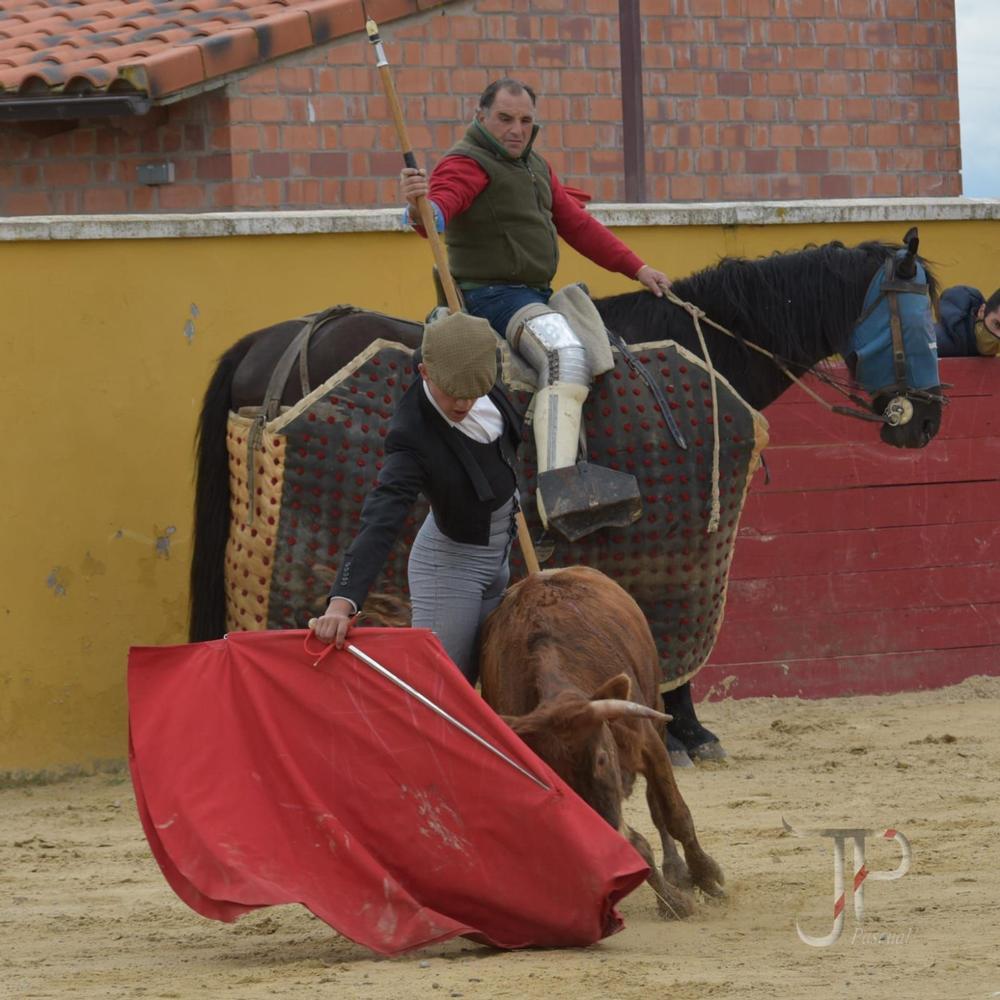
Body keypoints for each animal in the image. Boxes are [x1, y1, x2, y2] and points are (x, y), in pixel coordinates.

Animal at [480, 568, 724, 916]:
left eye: (601, 759)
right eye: (554, 776)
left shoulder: (649, 743)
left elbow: (676, 815)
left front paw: (707, 877)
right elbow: (635, 846)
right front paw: (675, 902)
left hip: (657, 712)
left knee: (657, 806)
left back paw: (678, 870)